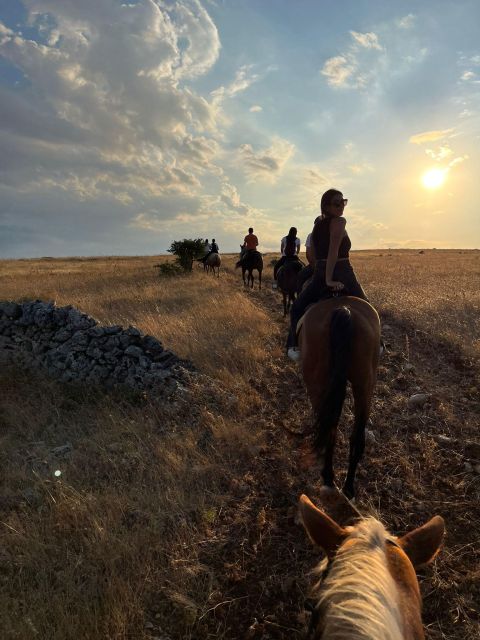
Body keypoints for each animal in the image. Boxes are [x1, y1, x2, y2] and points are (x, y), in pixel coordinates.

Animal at [298, 296, 380, 500]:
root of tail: (344, 309)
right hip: (365, 385)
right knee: (356, 436)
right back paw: (349, 487)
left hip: (318, 384)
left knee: (329, 428)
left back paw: (328, 475)